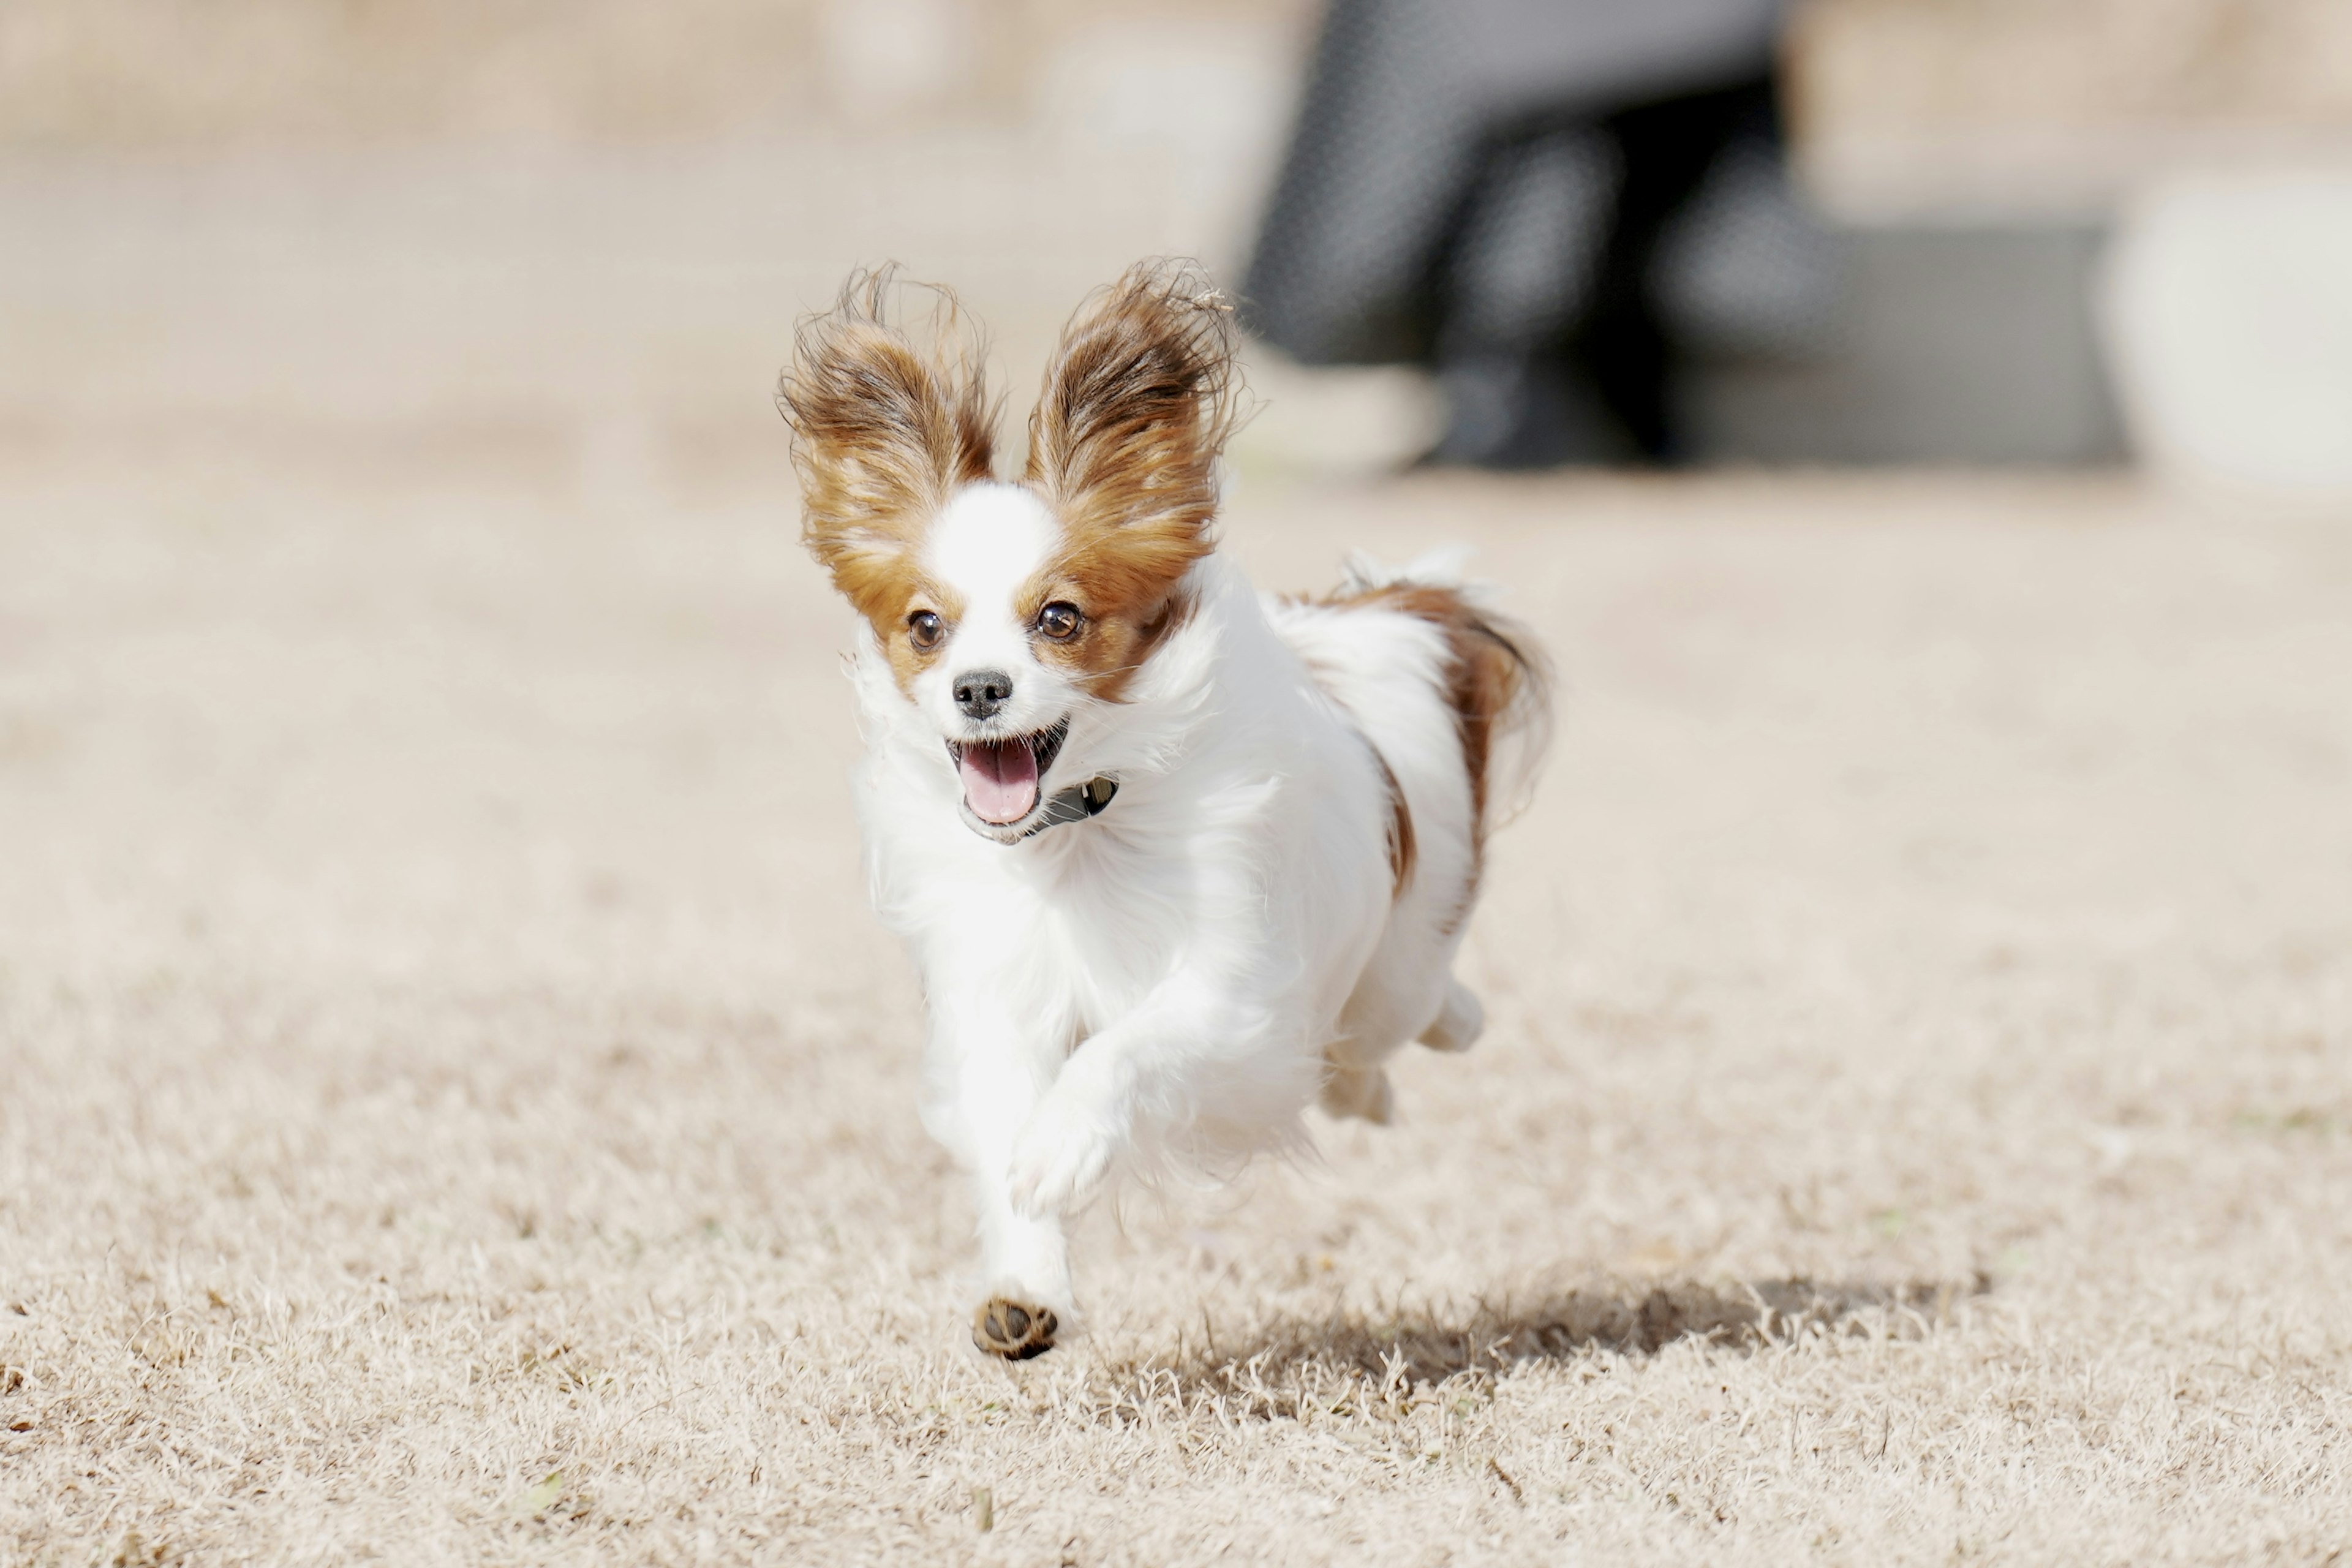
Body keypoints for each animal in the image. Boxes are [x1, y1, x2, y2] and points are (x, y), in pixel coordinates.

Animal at [776, 261, 1543, 1363]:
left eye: (1059, 619)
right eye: (926, 627)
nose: (979, 688)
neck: (1078, 834)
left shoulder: (1238, 994)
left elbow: (1125, 1050)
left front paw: (1063, 1144)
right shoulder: (999, 993)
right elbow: (1007, 1137)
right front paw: (1025, 1286)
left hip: (1397, 963)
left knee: (1409, 1010)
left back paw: (1442, 1032)